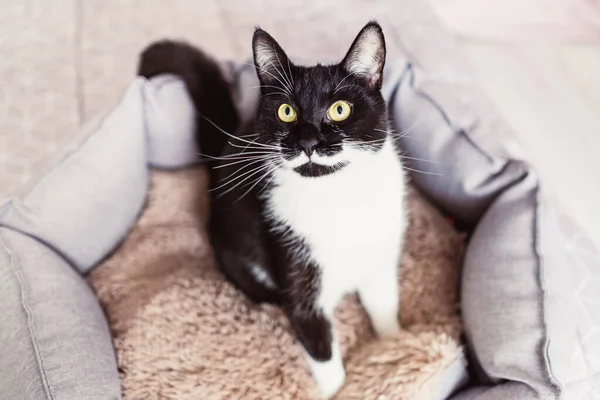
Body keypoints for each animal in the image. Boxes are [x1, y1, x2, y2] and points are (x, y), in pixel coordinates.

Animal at [138, 22, 406, 400]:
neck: (333, 198)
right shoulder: (294, 267)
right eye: (286, 112)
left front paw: (393, 344)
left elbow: (384, 306)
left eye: (340, 109)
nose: (308, 142)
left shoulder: (381, 254)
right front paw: (337, 388)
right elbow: (321, 349)